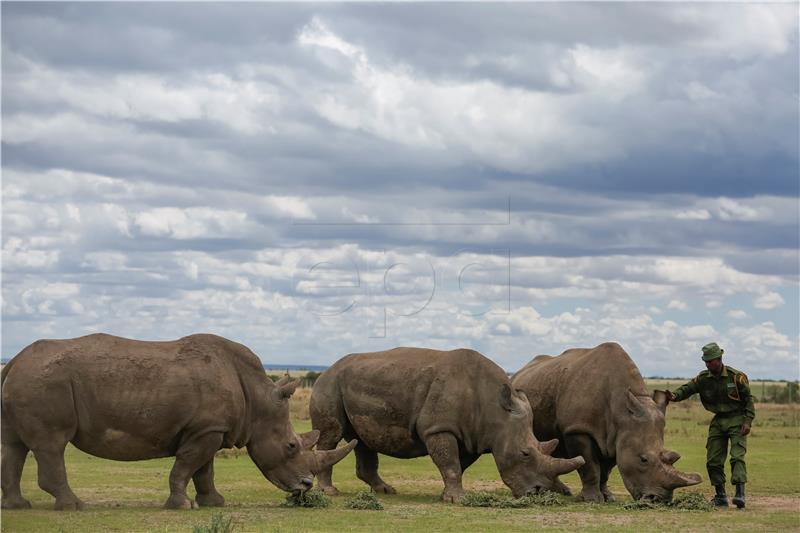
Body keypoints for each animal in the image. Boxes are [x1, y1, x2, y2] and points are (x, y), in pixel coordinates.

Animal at [0, 332, 356, 512]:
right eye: (292, 445)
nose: (306, 486)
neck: (258, 400)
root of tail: (15, 359)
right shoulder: (204, 430)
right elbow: (186, 466)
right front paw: (183, 505)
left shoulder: (209, 428)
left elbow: (204, 470)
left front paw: (214, 503)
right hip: (45, 381)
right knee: (51, 444)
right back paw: (73, 506)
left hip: (30, 378)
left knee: (15, 445)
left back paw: (18, 506)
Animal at [310, 348, 584, 500]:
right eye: (525, 453)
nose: (537, 492)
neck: (496, 410)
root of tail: (329, 367)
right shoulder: (439, 428)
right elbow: (450, 463)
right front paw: (458, 500)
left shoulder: (473, 435)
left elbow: (457, 465)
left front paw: (448, 496)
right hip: (329, 384)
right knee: (331, 434)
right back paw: (329, 492)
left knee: (363, 440)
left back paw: (386, 491)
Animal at [512, 342, 700, 500]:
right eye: (643, 459)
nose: (659, 500)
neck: (621, 410)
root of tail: (519, 371)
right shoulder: (578, 429)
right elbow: (589, 466)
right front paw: (592, 500)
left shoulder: (616, 436)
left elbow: (606, 470)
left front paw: (608, 497)